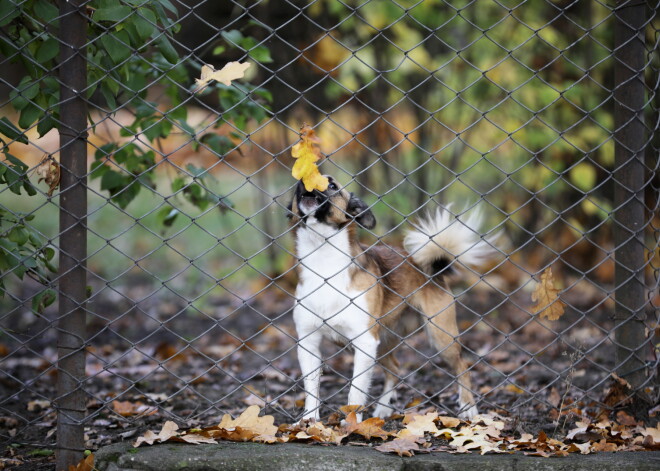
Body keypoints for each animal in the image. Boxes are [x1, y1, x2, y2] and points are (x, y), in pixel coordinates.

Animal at [286, 177, 498, 420]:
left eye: (332, 185)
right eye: (296, 185)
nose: (303, 181)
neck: (323, 261)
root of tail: (432, 269)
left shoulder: (365, 341)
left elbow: (355, 392)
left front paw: (352, 423)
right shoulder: (309, 343)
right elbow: (312, 391)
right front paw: (309, 421)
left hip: (440, 336)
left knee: (463, 366)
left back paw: (468, 407)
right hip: (384, 342)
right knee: (395, 369)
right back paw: (383, 409)